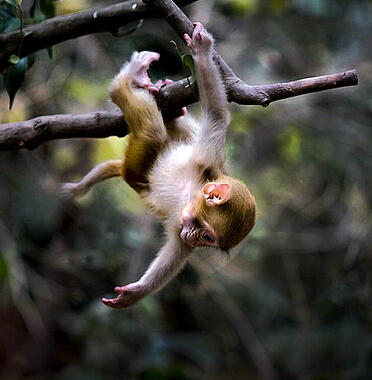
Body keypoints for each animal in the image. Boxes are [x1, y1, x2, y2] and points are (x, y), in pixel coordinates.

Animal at [62, 23, 258, 308]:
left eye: (206, 241)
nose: (194, 240)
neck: (192, 193)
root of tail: (126, 171)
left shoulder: (183, 222)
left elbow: (175, 253)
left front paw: (135, 292)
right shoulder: (206, 156)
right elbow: (217, 115)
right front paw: (201, 53)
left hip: (137, 164)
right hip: (141, 157)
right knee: (150, 130)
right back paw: (125, 81)